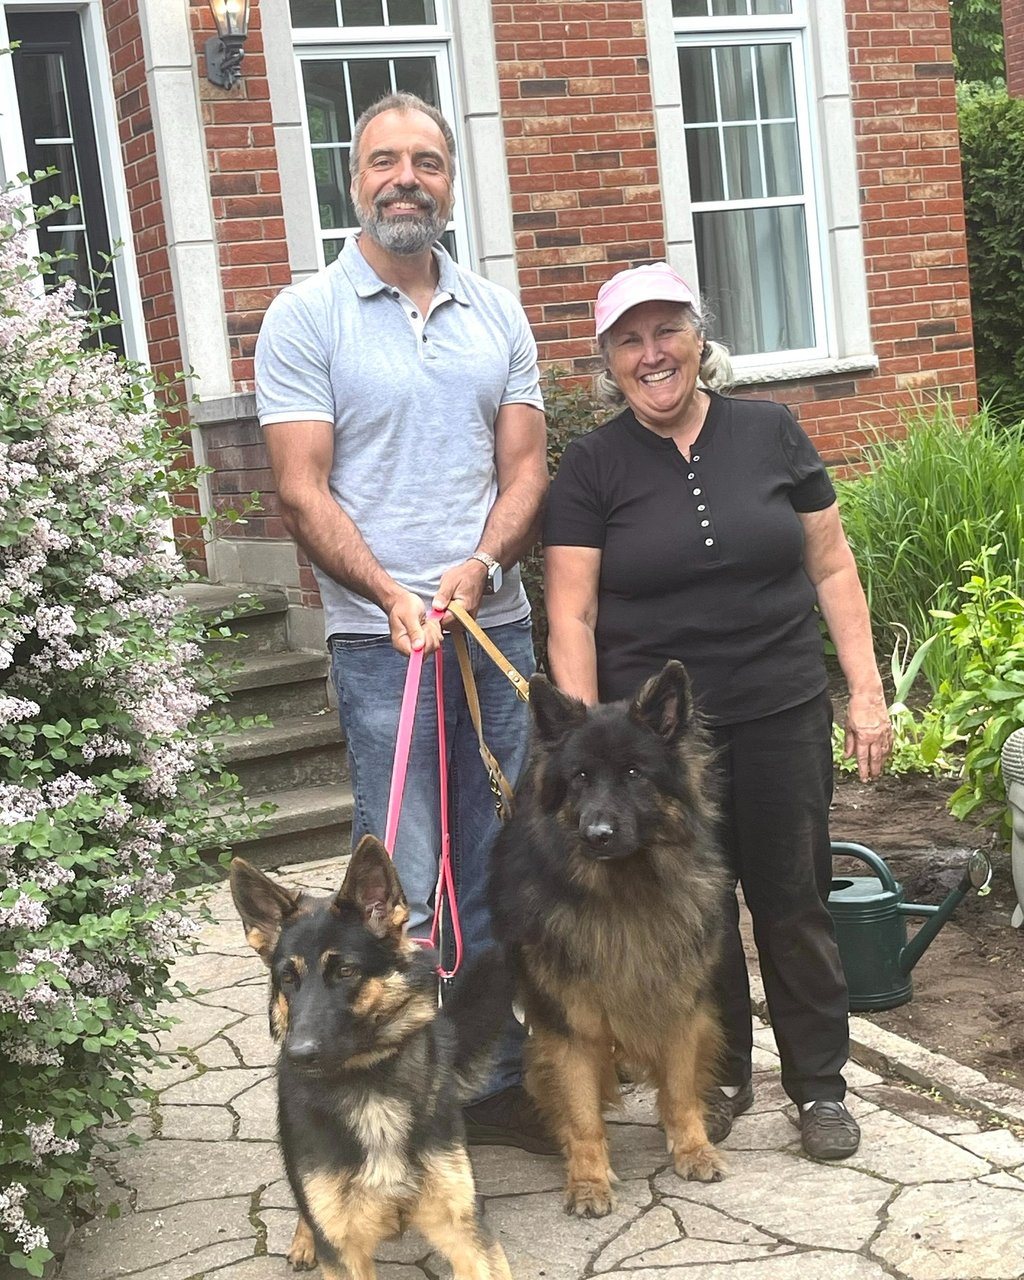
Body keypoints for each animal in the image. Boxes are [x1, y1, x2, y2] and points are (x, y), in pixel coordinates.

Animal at [235, 834, 517, 1274]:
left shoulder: (466, 1230)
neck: (368, 1084)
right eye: (288, 978)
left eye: (345, 972)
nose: (298, 1055)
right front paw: (307, 1237)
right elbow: (318, 1213)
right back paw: (304, 1239)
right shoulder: (344, 1249)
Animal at [488, 665, 727, 1213]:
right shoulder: (567, 1021)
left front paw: (692, 1148)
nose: (596, 833)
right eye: (580, 777)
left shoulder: (679, 1001)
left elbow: (681, 1087)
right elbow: (580, 1112)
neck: (624, 894)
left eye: (635, 773)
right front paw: (588, 1180)